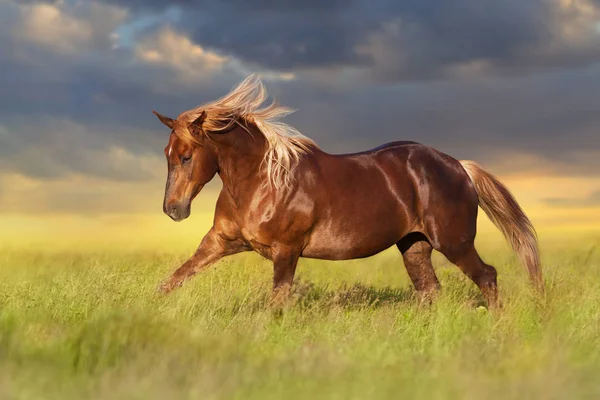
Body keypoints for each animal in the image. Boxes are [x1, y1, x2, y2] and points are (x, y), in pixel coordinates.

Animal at [151, 74, 544, 306]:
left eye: (186, 156)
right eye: (167, 153)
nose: (173, 209)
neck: (263, 183)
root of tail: (459, 166)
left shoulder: (286, 251)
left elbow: (278, 300)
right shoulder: (220, 241)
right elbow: (174, 279)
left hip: (454, 242)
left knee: (487, 277)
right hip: (414, 246)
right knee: (430, 290)